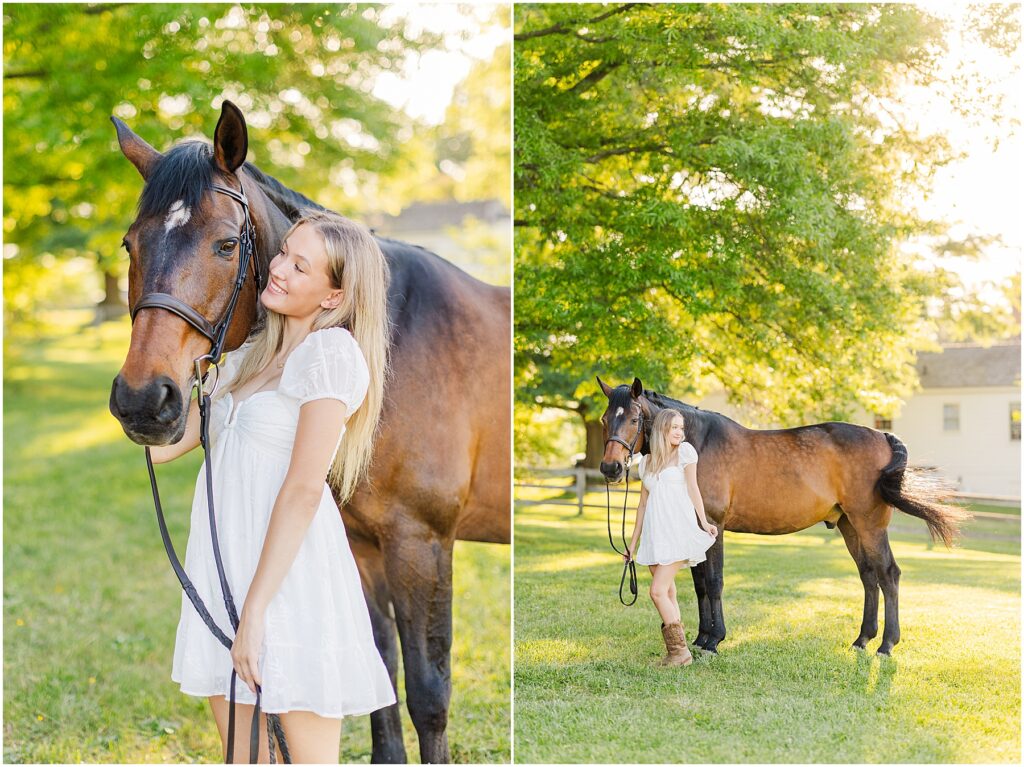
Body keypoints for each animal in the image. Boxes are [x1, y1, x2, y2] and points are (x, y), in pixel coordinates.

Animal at [109, 100, 512, 761]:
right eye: (128, 244)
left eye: (226, 244)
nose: (143, 401)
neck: (387, 345)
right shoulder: (364, 546)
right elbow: (382, 681)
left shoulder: (422, 542)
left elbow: (429, 695)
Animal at [593, 374, 966, 655]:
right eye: (604, 419)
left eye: (634, 418)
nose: (611, 468)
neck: (697, 444)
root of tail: (883, 436)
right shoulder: (696, 529)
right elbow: (700, 586)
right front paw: (700, 639)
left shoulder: (713, 526)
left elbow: (714, 582)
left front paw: (714, 640)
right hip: (850, 526)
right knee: (868, 576)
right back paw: (862, 639)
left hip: (869, 525)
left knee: (888, 574)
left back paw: (886, 645)